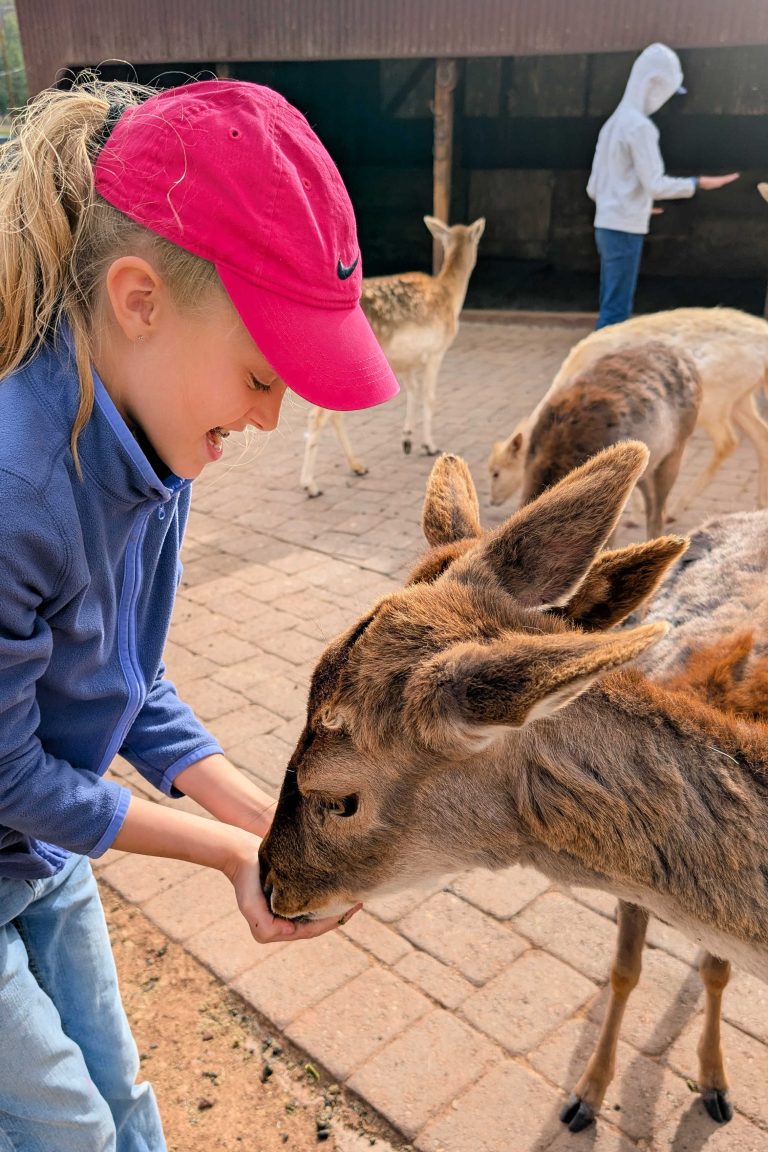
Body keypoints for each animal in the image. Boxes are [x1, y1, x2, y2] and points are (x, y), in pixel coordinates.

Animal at [300, 215, 485, 497]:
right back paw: (310, 484)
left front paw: (407, 440)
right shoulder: (436, 351)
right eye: (477, 240)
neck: (451, 297)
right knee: (318, 416)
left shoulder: (406, 361)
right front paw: (429, 445)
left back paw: (357, 465)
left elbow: (413, 391)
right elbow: (430, 397)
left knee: (334, 413)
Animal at [488, 307, 768, 517]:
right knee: (761, 435)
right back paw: (759, 504)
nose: (491, 501)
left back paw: (676, 508)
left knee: (728, 442)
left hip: (716, 401)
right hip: (740, 398)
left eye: (496, 472)